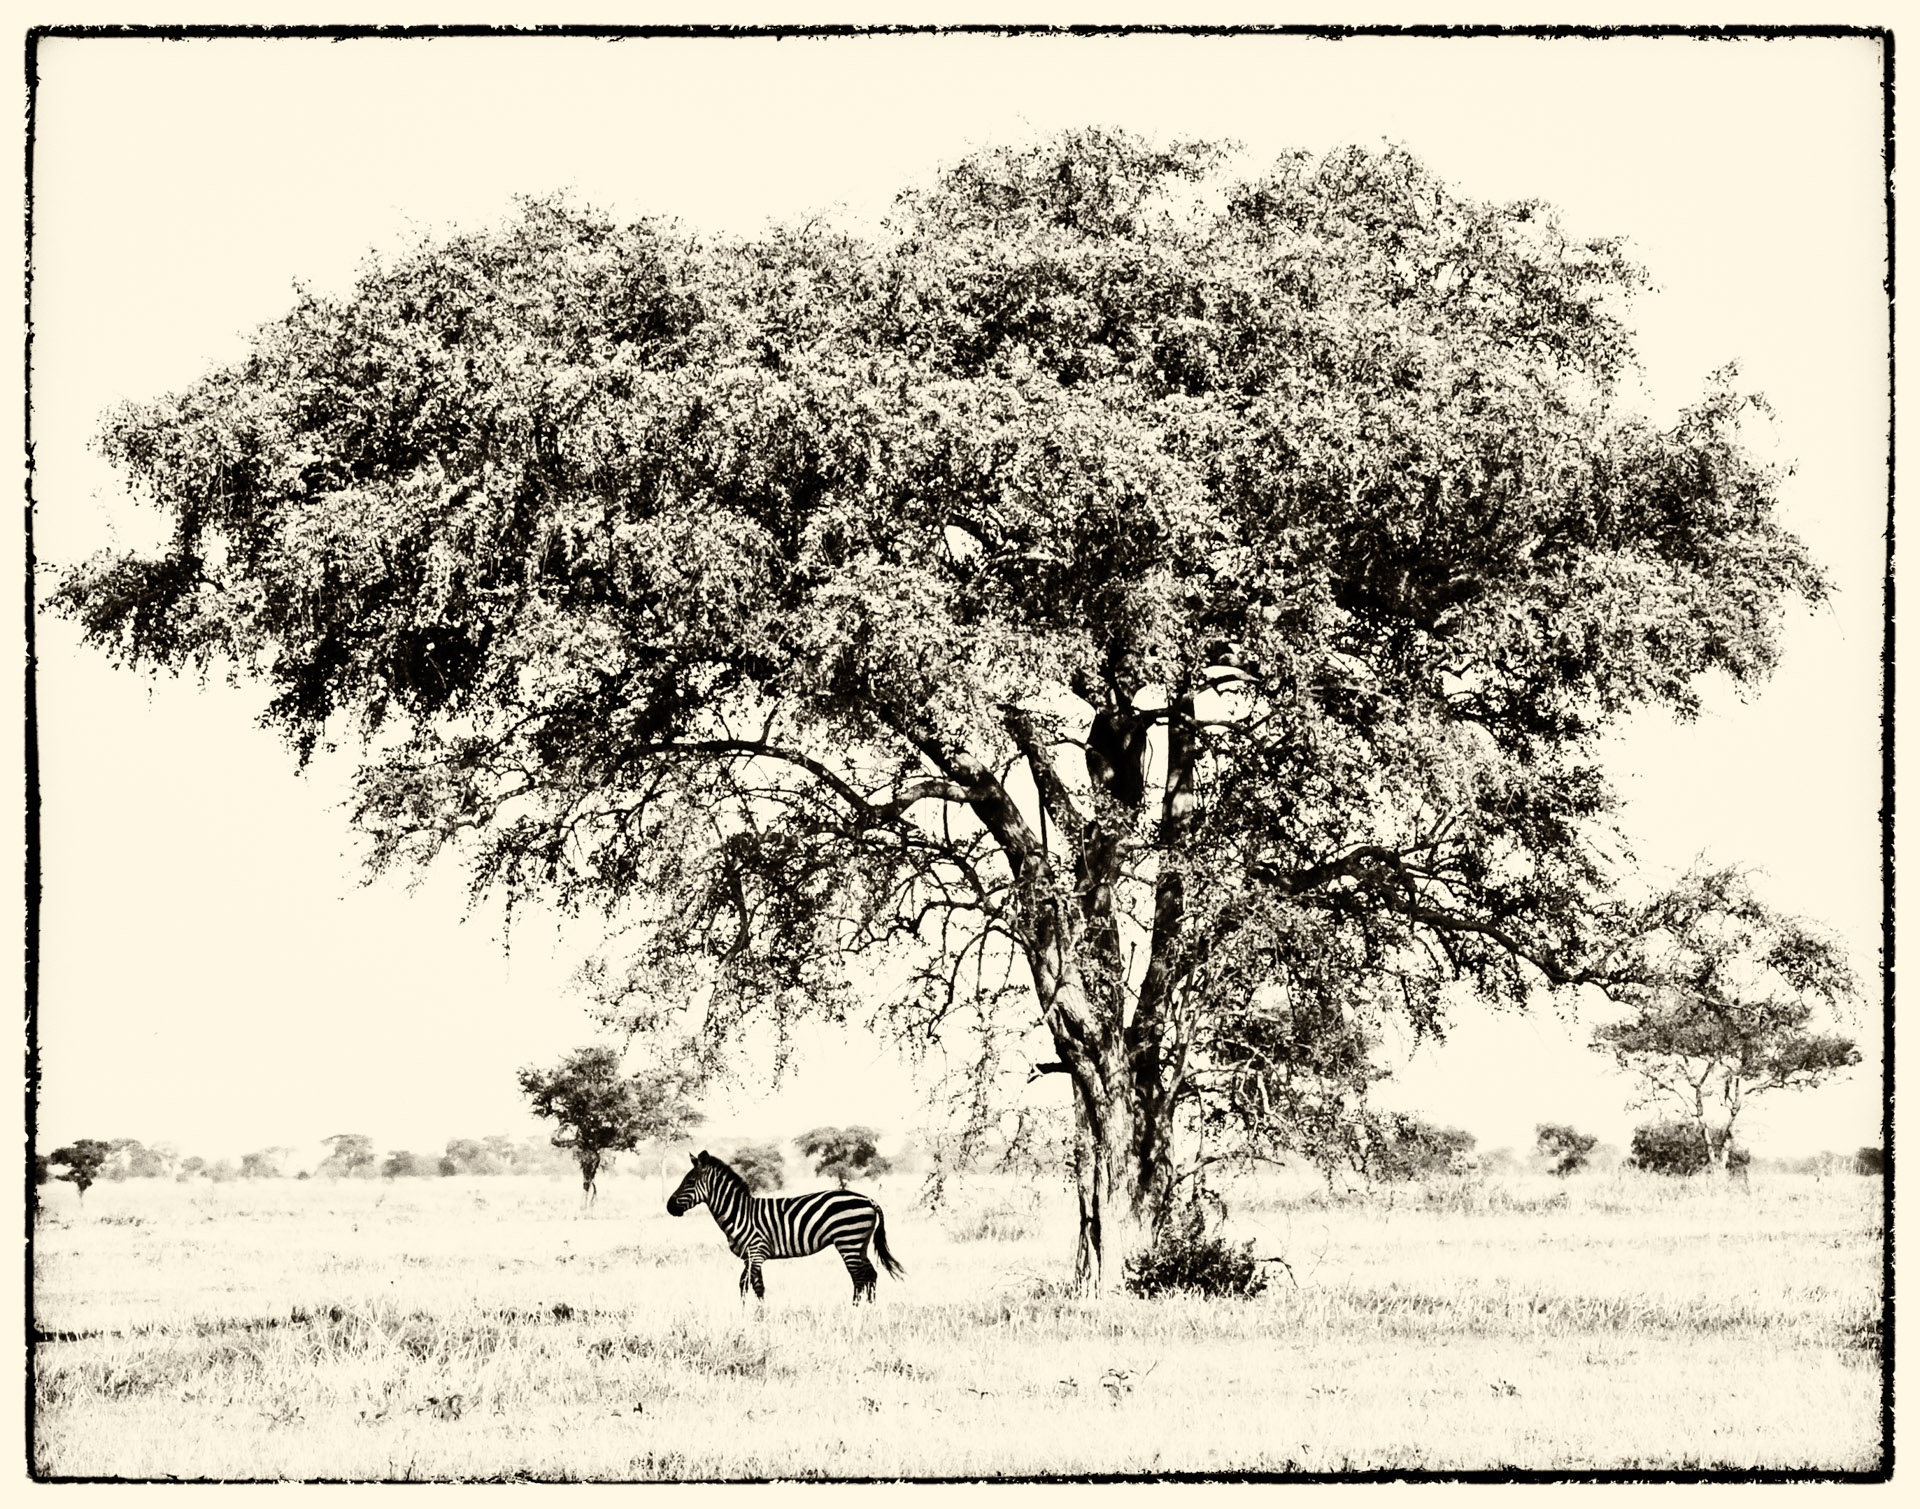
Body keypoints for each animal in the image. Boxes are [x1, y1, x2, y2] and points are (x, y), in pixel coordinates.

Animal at [666, 1150, 905, 1303]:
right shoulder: (748, 1257)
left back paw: (854, 1312)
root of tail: (868, 1200)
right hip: (859, 1243)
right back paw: (869, 1311)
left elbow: (753, 1286)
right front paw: (749, 1316)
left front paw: (757, 1319)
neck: (738, 1212)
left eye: (689, 1182)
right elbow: (748, 1286)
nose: (669, 1207)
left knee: (859, 1278)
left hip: (848, 1240)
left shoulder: (757, 1252)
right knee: (871, 1275)